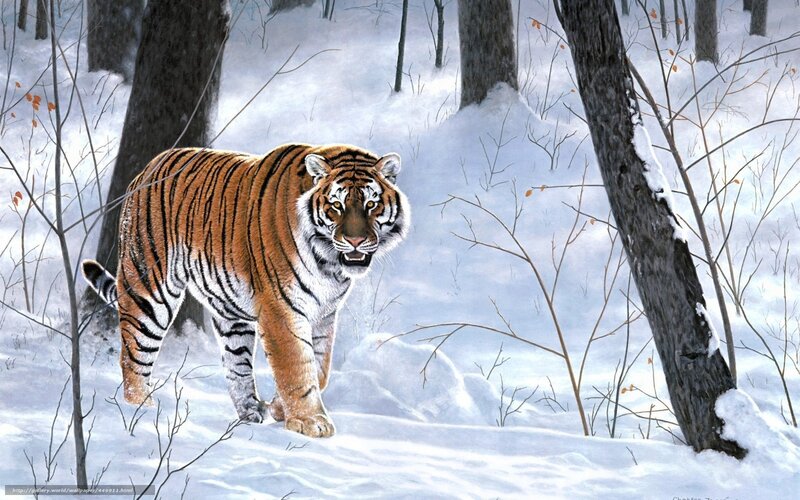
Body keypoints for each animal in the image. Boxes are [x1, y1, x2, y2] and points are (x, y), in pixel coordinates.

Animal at [81, 144, 409, 438]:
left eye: (371, 205)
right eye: (336, 206)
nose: (355, 242)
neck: (329, 264)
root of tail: (147, 168)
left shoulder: (324, 314)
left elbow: (319, 368)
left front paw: (280, 409)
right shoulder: (282, 308)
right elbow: (295, 364)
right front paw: (310, 423)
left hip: (230, 311)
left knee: (236, 365)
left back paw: (250, 412)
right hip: (149, 290)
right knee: (133, 355)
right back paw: (142, 410)